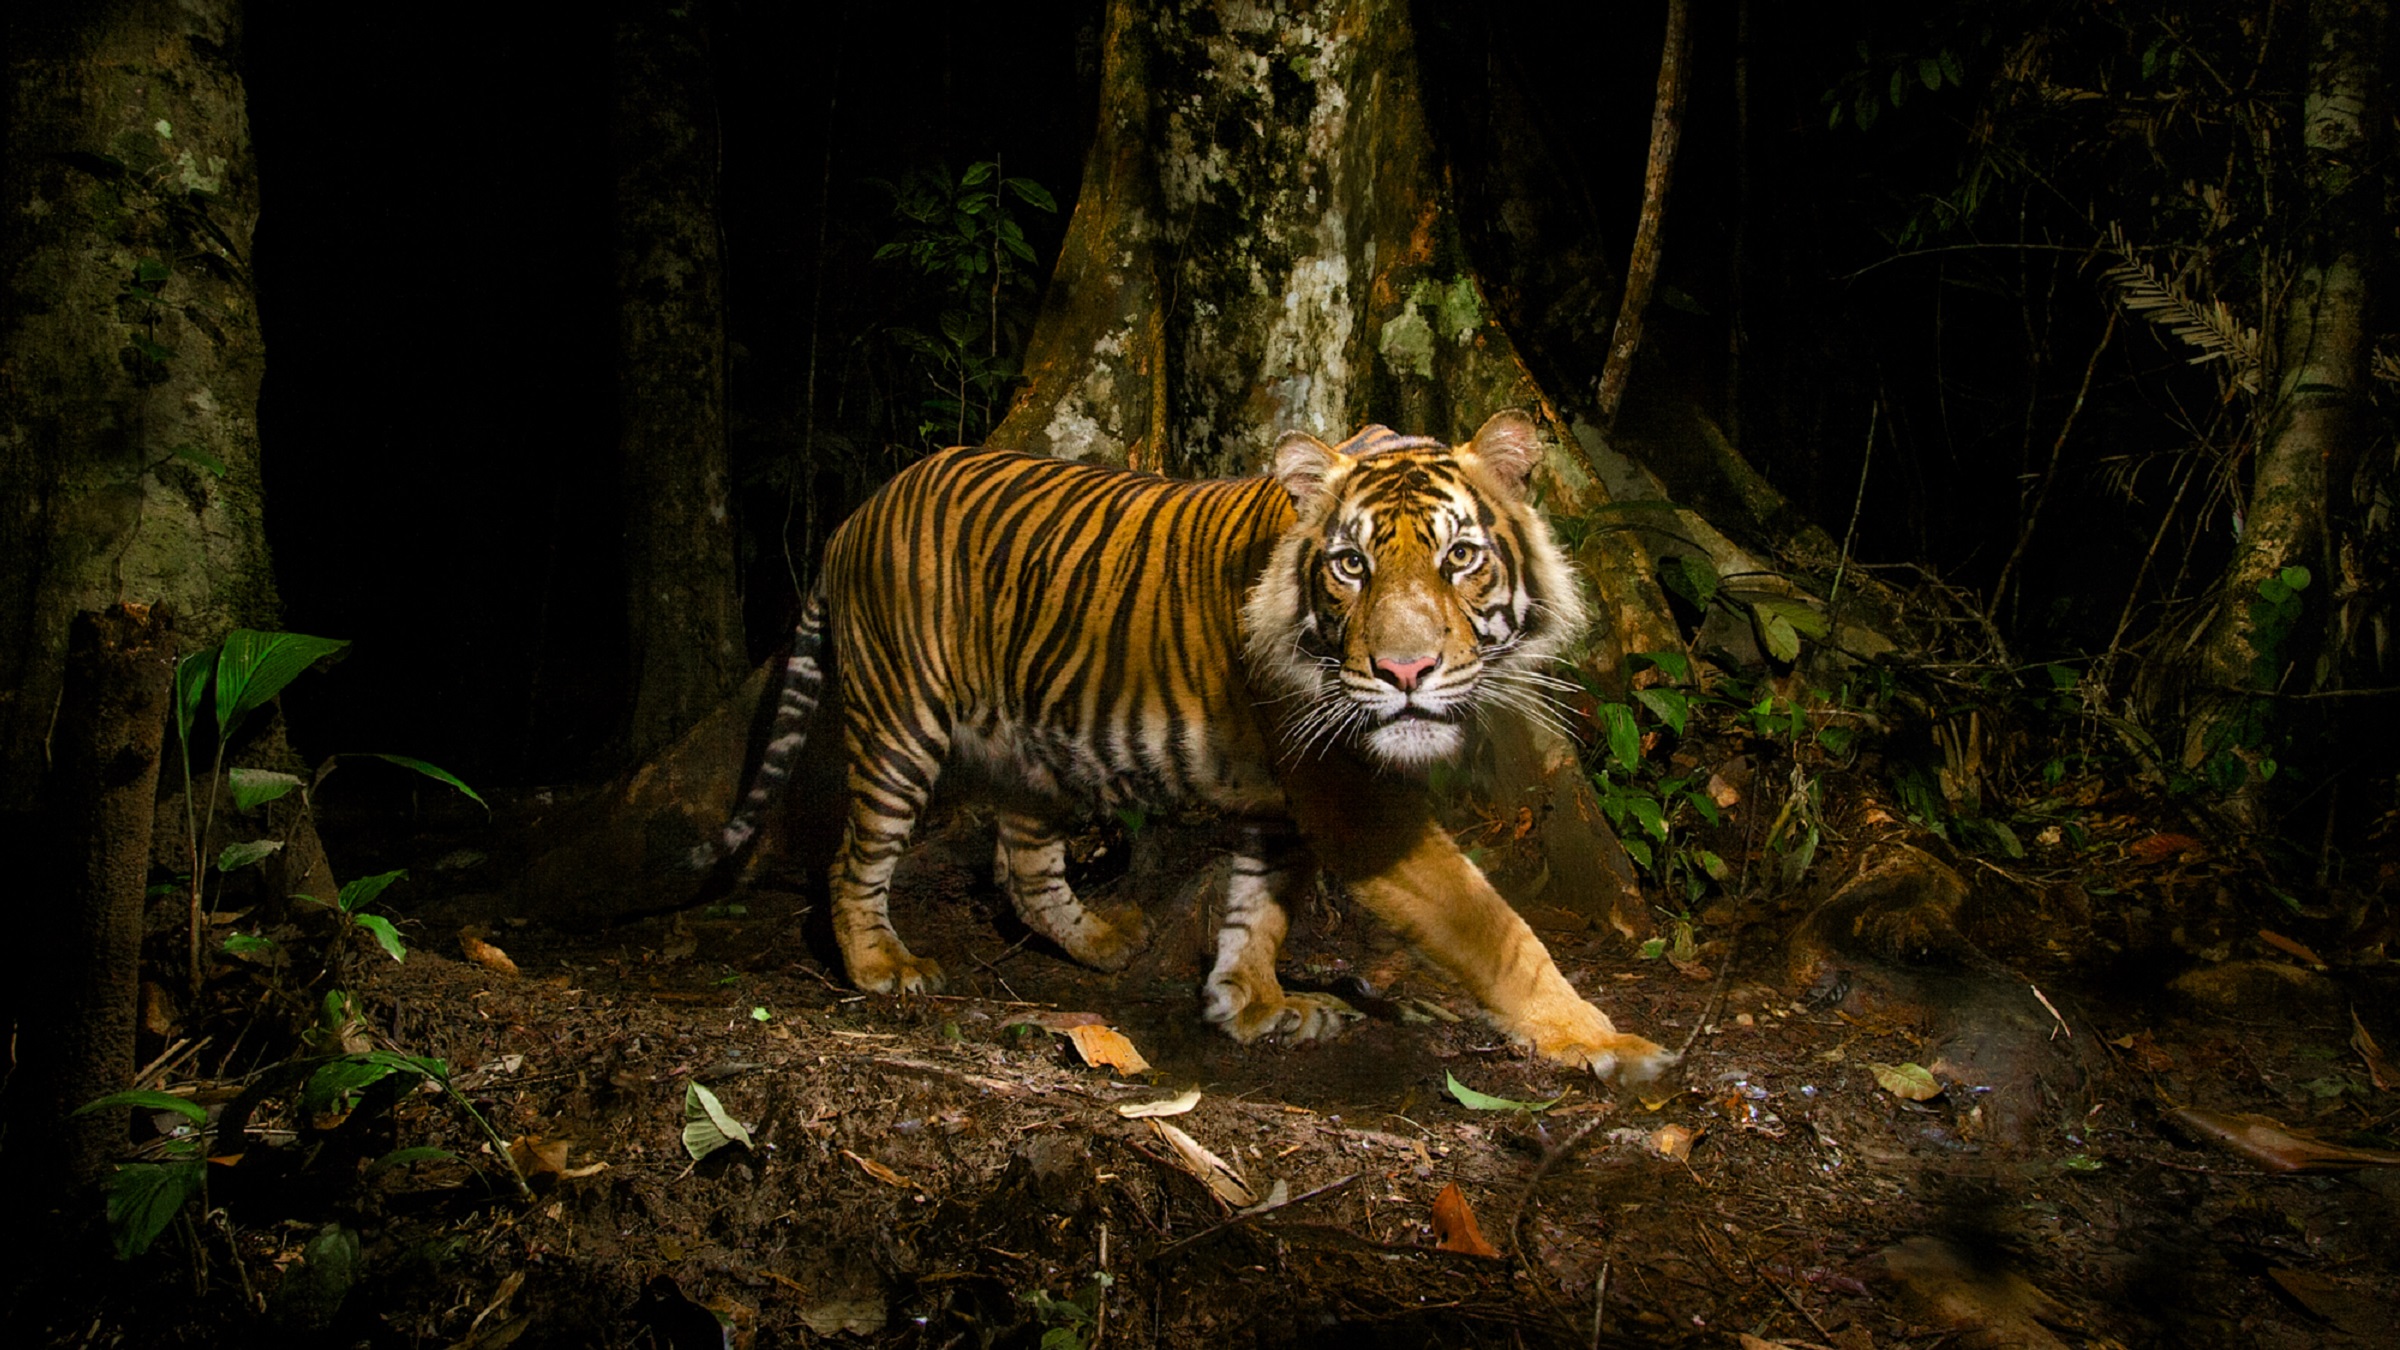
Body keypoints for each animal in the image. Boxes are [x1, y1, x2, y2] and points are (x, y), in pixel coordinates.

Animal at [694, 409, 1672, 1082]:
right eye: (1350, 565)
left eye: (1460, 557)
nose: (1404, 670)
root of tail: (855, 514)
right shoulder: (1351, 798)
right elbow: (1496, 929)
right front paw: (1606, 1041)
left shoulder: (1290, 799)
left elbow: (1257, 911)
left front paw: (1252, 1006)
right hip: (901, 723)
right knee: (854, 857)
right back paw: (882, 966)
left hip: (1036, 746)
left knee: (1026, 864)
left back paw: (1102, 942)